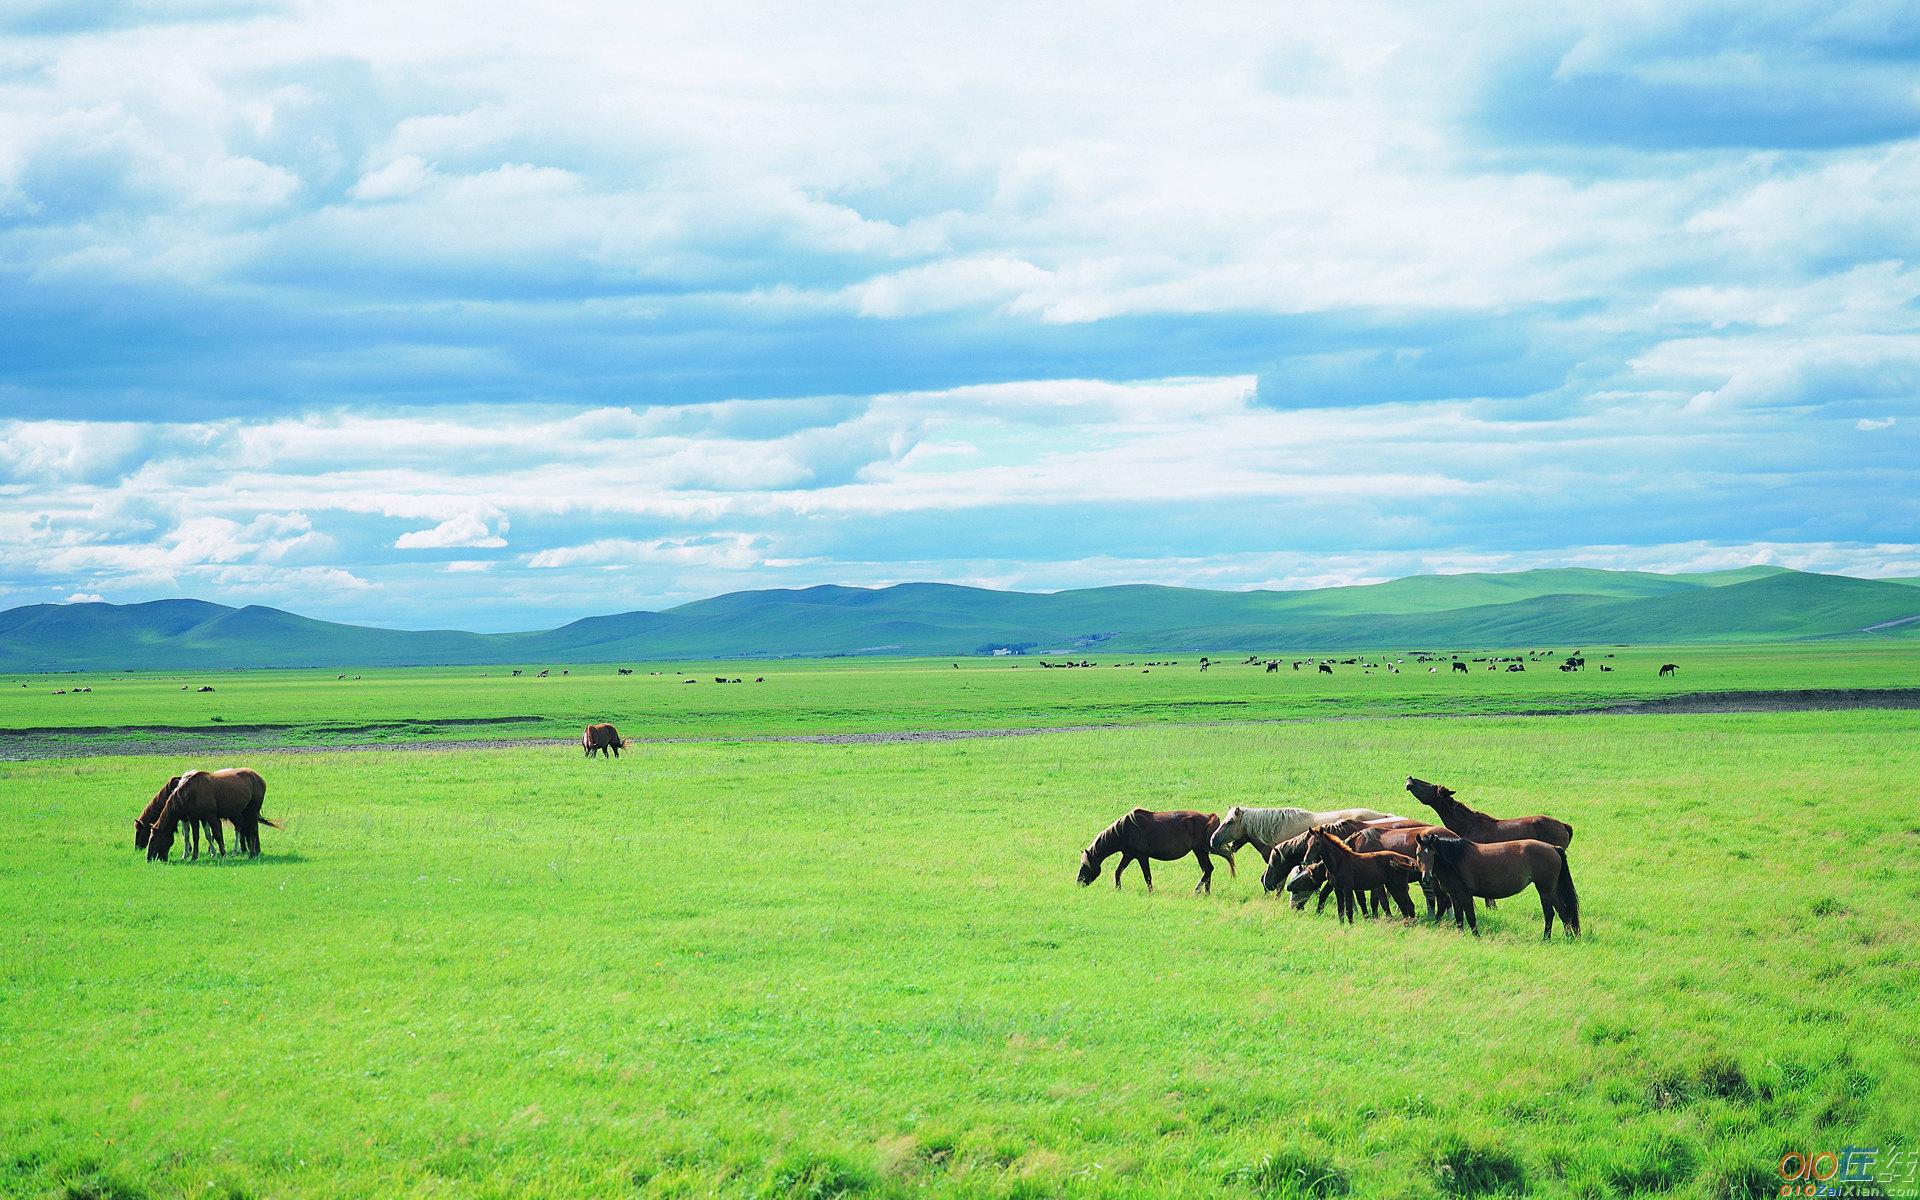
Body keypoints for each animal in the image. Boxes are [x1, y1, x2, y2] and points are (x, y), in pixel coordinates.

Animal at [145, 768, 276, 860]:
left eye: (153, 838)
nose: (148, 858)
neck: (190, 793)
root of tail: (260, 779)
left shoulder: (211, 816)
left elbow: (217, 835)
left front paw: (222, 854)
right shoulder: (195, 818)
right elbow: (196, 836)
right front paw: (194, 856)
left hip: (252, 811)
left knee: (253, 830)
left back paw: (252, 854)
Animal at [1082, 810, 1228, 894]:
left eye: (1085, 865)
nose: (1079, 882)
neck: (1124, 831)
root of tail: (1208, 817)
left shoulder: (1142, 857)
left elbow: (1147, 876)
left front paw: (1151, 892)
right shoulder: (1128, 855)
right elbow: (1118, 871)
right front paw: (1118, 888)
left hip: (1199, 851)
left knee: (1208, 869)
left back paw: (1197, 891)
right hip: (1201, 852)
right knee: (1208, 870)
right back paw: (1206, 893)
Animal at [1420, 829, 1582, 940]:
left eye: (1433, 853)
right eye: (1418, 854)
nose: (1426, 878)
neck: (1455, 859)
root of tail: (1553, 847)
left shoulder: (1464, 894)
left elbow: (1470, 917)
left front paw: (1476, 937)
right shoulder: (1454, 894)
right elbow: (1459, 917)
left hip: (1544, 890)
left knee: (1549, 914)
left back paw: (1546, 939)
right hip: (1551, 890)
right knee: (1564, 912)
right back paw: (1569, 937)